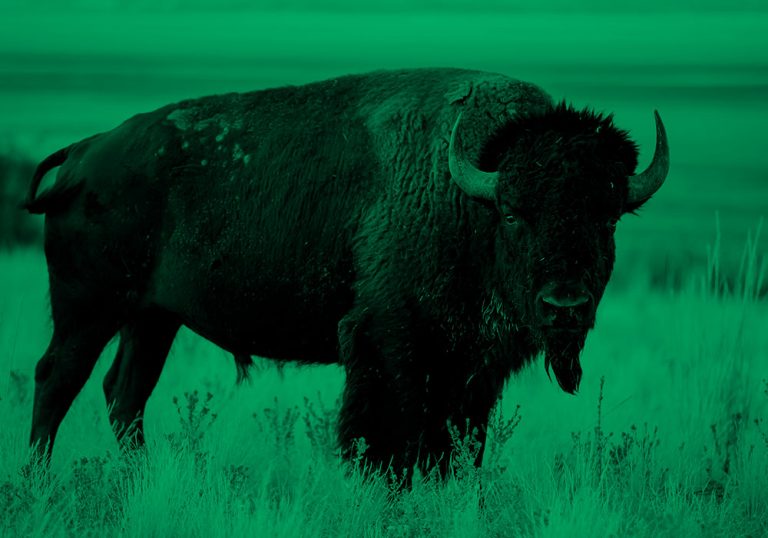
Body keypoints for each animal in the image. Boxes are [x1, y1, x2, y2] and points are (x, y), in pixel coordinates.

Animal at [25, 68, 668, 477]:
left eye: (608, 216)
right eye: (513, 213)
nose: (565, 306)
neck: (468, 196)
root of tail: (85, 152)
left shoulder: (473, 371)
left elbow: (457, 444)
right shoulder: (390, 346)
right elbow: (387, 440)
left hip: (152, 320)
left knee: (123, 395)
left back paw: (141, 477)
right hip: (88, 309)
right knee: (58, 379)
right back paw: (37, 480)